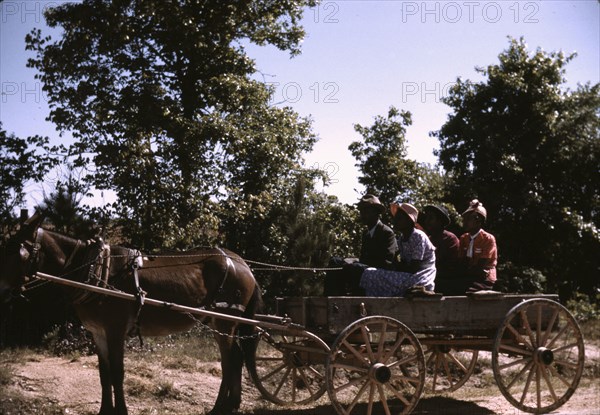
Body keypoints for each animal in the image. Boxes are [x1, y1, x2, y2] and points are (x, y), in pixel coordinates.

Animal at [0, 216, 262, 414]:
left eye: (18, 252)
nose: (2, 290)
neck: (96, 271)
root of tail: (241, 263)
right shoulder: (98, 332)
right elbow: (104, 373)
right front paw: (105, 411)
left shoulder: (115, 331)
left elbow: (118, 373)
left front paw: (121, 411)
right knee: (237, 358)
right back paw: (233, 405)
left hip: (225, 320)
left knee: (229, 361)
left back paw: (220, 407)